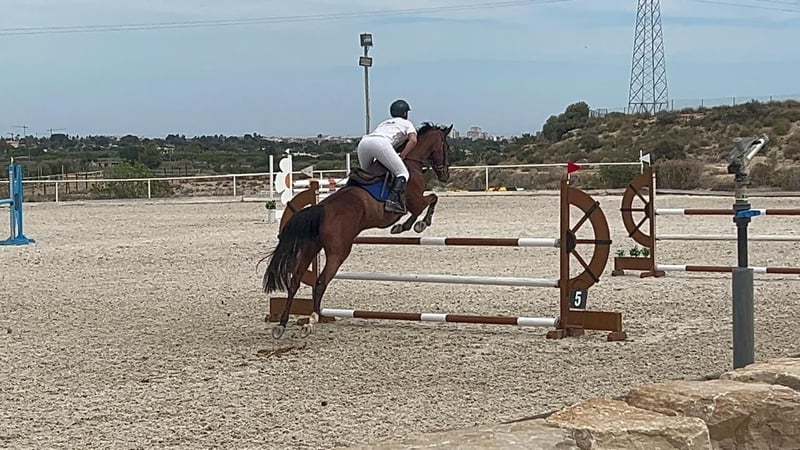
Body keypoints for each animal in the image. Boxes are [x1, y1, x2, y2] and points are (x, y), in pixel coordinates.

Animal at [261, 122, 453, 339]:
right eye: (446, 146)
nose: (445, 175)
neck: (411, 162)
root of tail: (322, 208)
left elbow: (425, 204)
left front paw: (404, 226)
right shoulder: (416, 201)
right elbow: (431, 200)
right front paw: (417, 224)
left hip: (310, 248)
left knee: (294, 282)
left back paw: (282, 324)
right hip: (339, 252)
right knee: (320, 283)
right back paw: (311, 321)